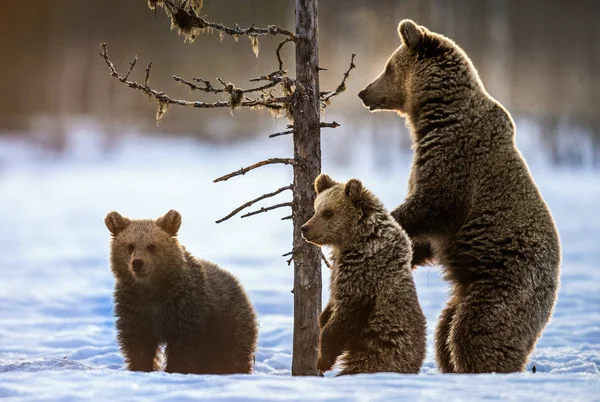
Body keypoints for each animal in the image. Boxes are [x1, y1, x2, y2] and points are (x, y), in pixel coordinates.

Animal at [103, 209, 258, 376]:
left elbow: (183, 347)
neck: (152, 291)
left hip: (229, 325)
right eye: (130, 246)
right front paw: (141, 368)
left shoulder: (184, 308)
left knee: (232, 354)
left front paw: (176, 370)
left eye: (152, 246)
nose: (137, 263)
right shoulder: (134, 307)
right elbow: (138, 343)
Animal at [358, 20, 560, 374]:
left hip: (506, 284)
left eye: (387, 67)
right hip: (468, 290)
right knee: (445, 332)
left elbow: (433, 204)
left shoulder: (456, 161)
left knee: (476, 331)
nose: (364, 92)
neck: (437, 116)